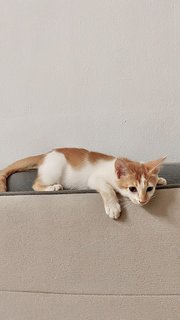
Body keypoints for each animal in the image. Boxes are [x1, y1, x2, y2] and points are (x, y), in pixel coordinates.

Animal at [0, 148, 167, 219]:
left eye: (149, 189)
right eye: (132, 189)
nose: (143, 201)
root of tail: (45, 154)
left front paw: (160, 179)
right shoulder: (95, 178)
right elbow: (108, 189)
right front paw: (113, 207)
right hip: (55, 167)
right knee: (35, 185)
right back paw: (53, 187)